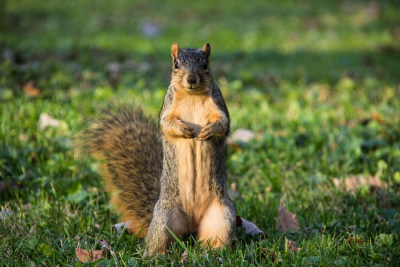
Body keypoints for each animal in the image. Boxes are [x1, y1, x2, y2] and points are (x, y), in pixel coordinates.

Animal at [82, 42, 236, 258]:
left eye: (206, 64)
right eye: (176, 64)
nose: (191, 79)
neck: (192, 95)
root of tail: (191, 226)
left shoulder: (219, 105)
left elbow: (223, 123)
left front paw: (209, 130)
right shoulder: (167, 109)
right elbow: (166, 124)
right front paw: (184, 130)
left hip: (222, 217)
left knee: (215, 238)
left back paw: (214, 253)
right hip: (165, 219)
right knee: (158, 242)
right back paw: (154, 255)